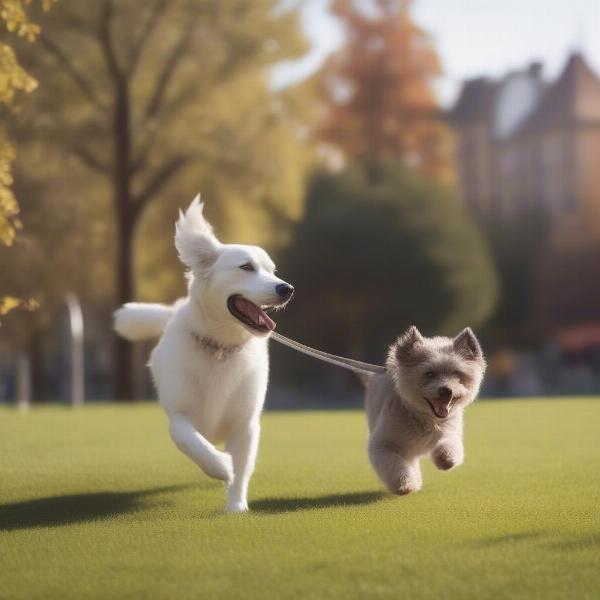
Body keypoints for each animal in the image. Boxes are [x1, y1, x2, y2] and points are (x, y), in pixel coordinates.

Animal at [113, 198, 294, 510]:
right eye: (246, 267)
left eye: (272, 270)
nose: (287, 288)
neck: (220, 347)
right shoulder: (179, 416)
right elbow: (194, 444)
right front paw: (221, 466)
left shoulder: (245, 424)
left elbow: (242, 470)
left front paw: (236, 507)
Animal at [360, 326, 488, 494]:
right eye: (430, 374)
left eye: (457, 373)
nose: (446, 390)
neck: (424, 418)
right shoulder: (383, 444)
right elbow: (394, 465)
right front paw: (404, 483)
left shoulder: (450, 432)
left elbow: (449, 445)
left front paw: (445, 459)